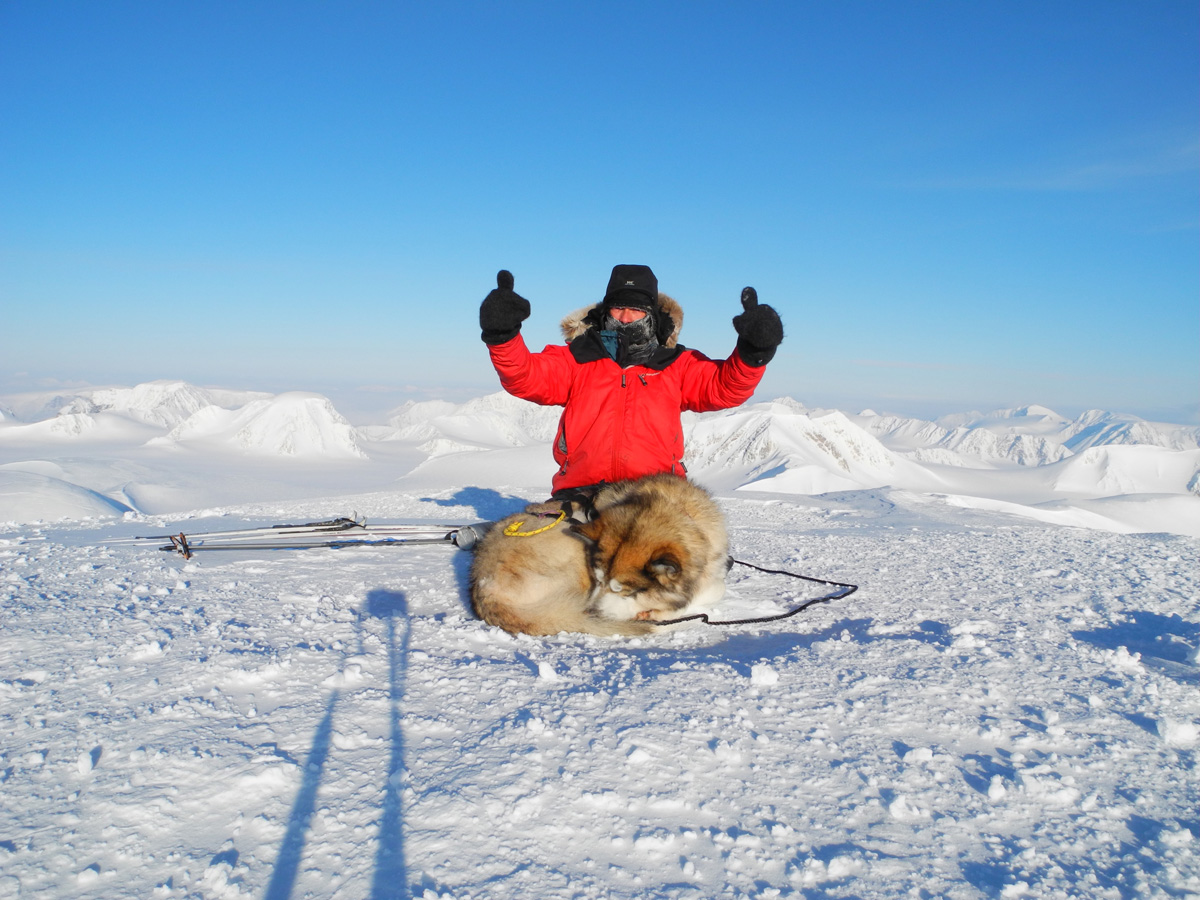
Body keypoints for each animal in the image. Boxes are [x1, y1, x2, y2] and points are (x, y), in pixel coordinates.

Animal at [468, 475, 729, 638]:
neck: (680, 510)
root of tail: (484, 591)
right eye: (598, 579)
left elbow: (714, 588)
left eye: (620, 590)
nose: (591, 613)